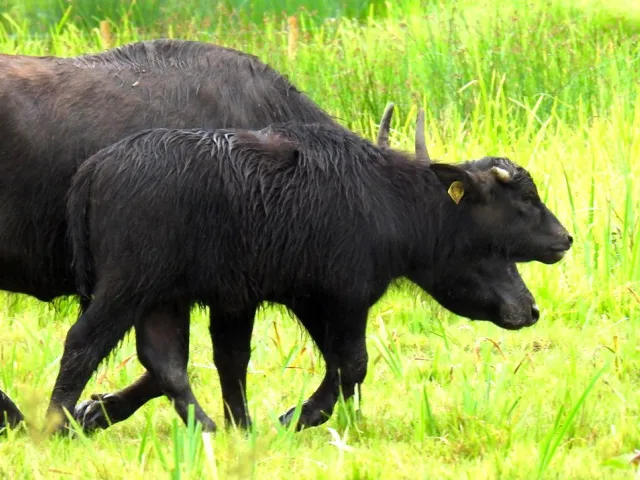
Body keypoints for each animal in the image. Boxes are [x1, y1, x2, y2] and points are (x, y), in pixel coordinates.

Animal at [0, 39, 553, 433]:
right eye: (517, 207)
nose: (561, 242)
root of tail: (95, 172)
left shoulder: (219, 293)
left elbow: (194, 362)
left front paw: (100, 411)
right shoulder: (270, 291)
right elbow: (333, 362)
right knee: (89, 342)